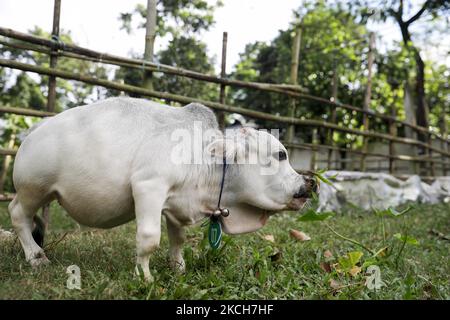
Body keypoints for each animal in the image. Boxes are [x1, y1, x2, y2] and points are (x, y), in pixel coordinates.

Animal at [7, 97, 316, 280]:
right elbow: (149, 238)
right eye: (281, 155)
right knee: (17, 214)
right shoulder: (149, 186)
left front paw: (178, 268)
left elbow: (177, 239)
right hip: (34, 187)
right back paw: (36, 257)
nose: (308, 183)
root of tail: (35, 128)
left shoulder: (176, 204)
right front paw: (145, 277)